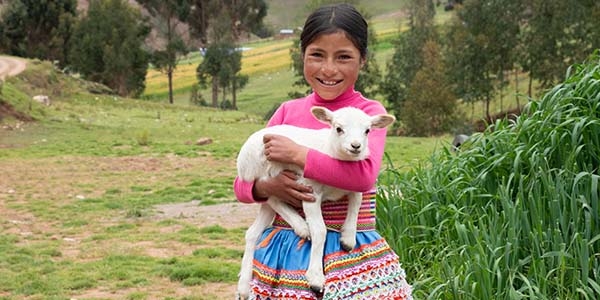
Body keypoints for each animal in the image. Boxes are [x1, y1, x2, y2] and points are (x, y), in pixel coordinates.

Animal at [237, 105, 396, 298]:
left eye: (367, 131)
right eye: (338, 128)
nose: (356, 146)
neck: (333, 152)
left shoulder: (354, 184)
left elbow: (357, 202)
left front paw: (348, 238)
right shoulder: (310, 192)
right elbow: (320, 231)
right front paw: (316, 279)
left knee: (254, 231)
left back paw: (244, 286)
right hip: (265, 170)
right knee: (274, 196)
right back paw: (302, 226)